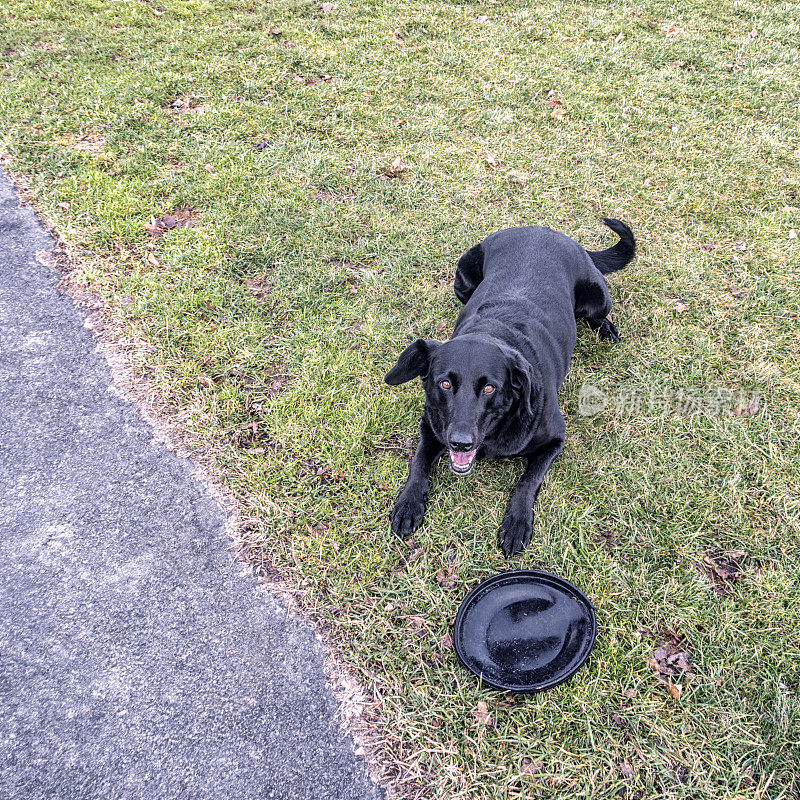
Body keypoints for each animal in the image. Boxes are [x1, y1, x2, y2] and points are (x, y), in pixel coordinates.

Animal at [384, 219, 636, 556]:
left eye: (490, 388)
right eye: (445, 383)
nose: (460, 443)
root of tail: (544, 229)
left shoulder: (555, 440)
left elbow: (528, 481)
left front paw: (517, 522)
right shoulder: (431, 425)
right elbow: (419, 461)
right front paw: (409, 503)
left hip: (597, 298)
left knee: (600, 313)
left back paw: (606, 328)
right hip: (462, 279)